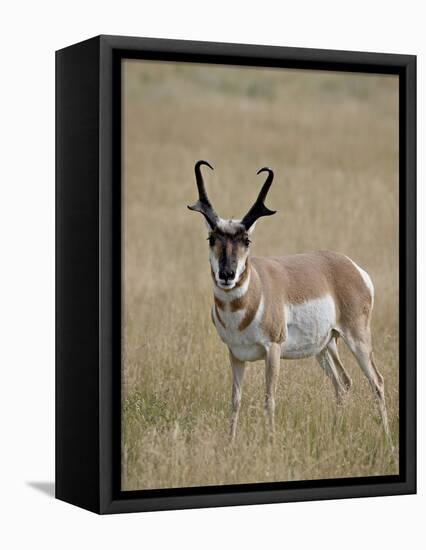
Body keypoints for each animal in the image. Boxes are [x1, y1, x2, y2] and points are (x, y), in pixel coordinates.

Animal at [188, 160, 392, 444]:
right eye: (212, 239)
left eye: (246, 240)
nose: (227, 274)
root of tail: (351, 266)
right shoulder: (236, 355)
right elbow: (235, 400)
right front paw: (230, 443)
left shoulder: (272, 350)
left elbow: (269, 400)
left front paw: (270, 442)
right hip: (325, 346)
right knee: (343, 383)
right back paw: (334, 433)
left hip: (357, 339)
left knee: (377, 381)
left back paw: (387, 440)